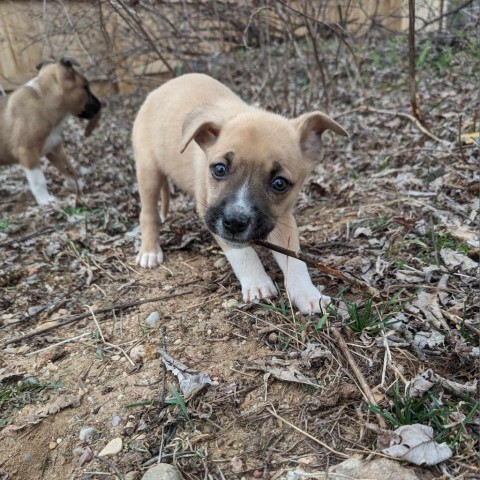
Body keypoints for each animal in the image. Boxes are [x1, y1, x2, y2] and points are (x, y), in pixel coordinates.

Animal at [0, 57, 101, 204]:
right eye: (86, 87)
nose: (100, 104)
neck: (45, 101)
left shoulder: (54, 148)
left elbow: (68, 169)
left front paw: (78, 185)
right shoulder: (27, 152)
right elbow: (39, 180)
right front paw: (45, 200)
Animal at [133, 73, 346, 316]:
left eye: (279, 183)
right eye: (219, 169)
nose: (234, 222)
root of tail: (161, 87)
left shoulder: (281, 216)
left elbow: (294, 257)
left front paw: (307, 294)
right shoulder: (209, 210)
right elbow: (242, 253)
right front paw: (256, 282)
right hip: (148, 171)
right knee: (148, 213)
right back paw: (150, 251)